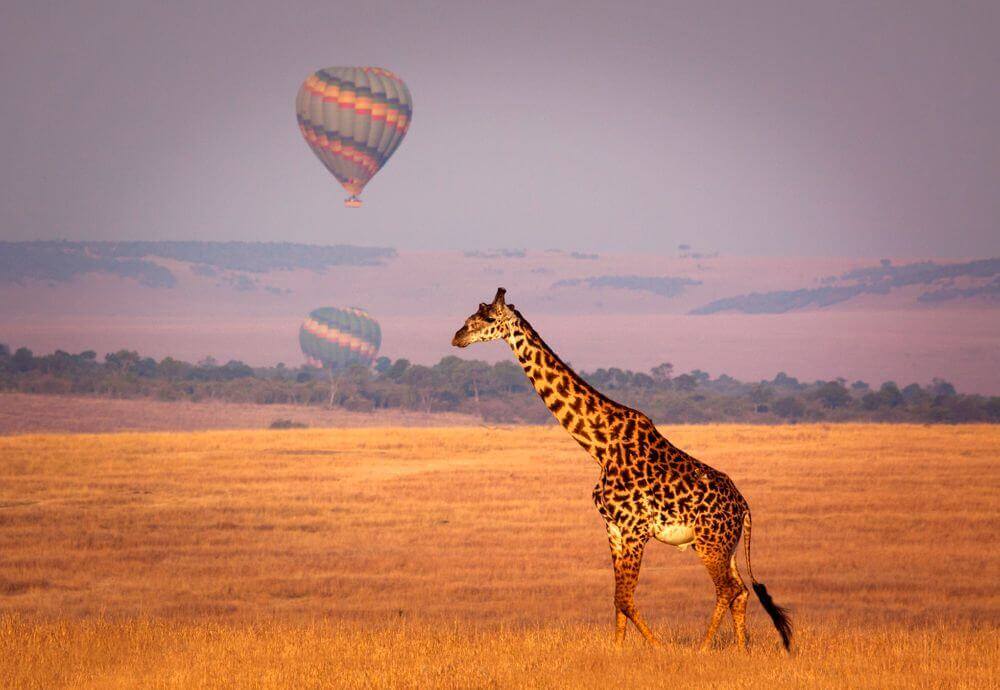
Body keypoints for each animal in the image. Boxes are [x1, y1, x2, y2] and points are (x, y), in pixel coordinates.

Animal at [450, 286, 792, 652]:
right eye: (471, 315)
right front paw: (618, 650)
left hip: (709, 543)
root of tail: (744, 507)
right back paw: (741, 650)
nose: (458, 337)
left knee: (728, 589)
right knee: (740, 591)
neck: (600, 445)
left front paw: (659, 648)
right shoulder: (612, 528)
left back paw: (702, 649)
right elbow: (617, 599)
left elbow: (626, 599)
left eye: (487, 318)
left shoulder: (634, 528)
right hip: (726, 546)